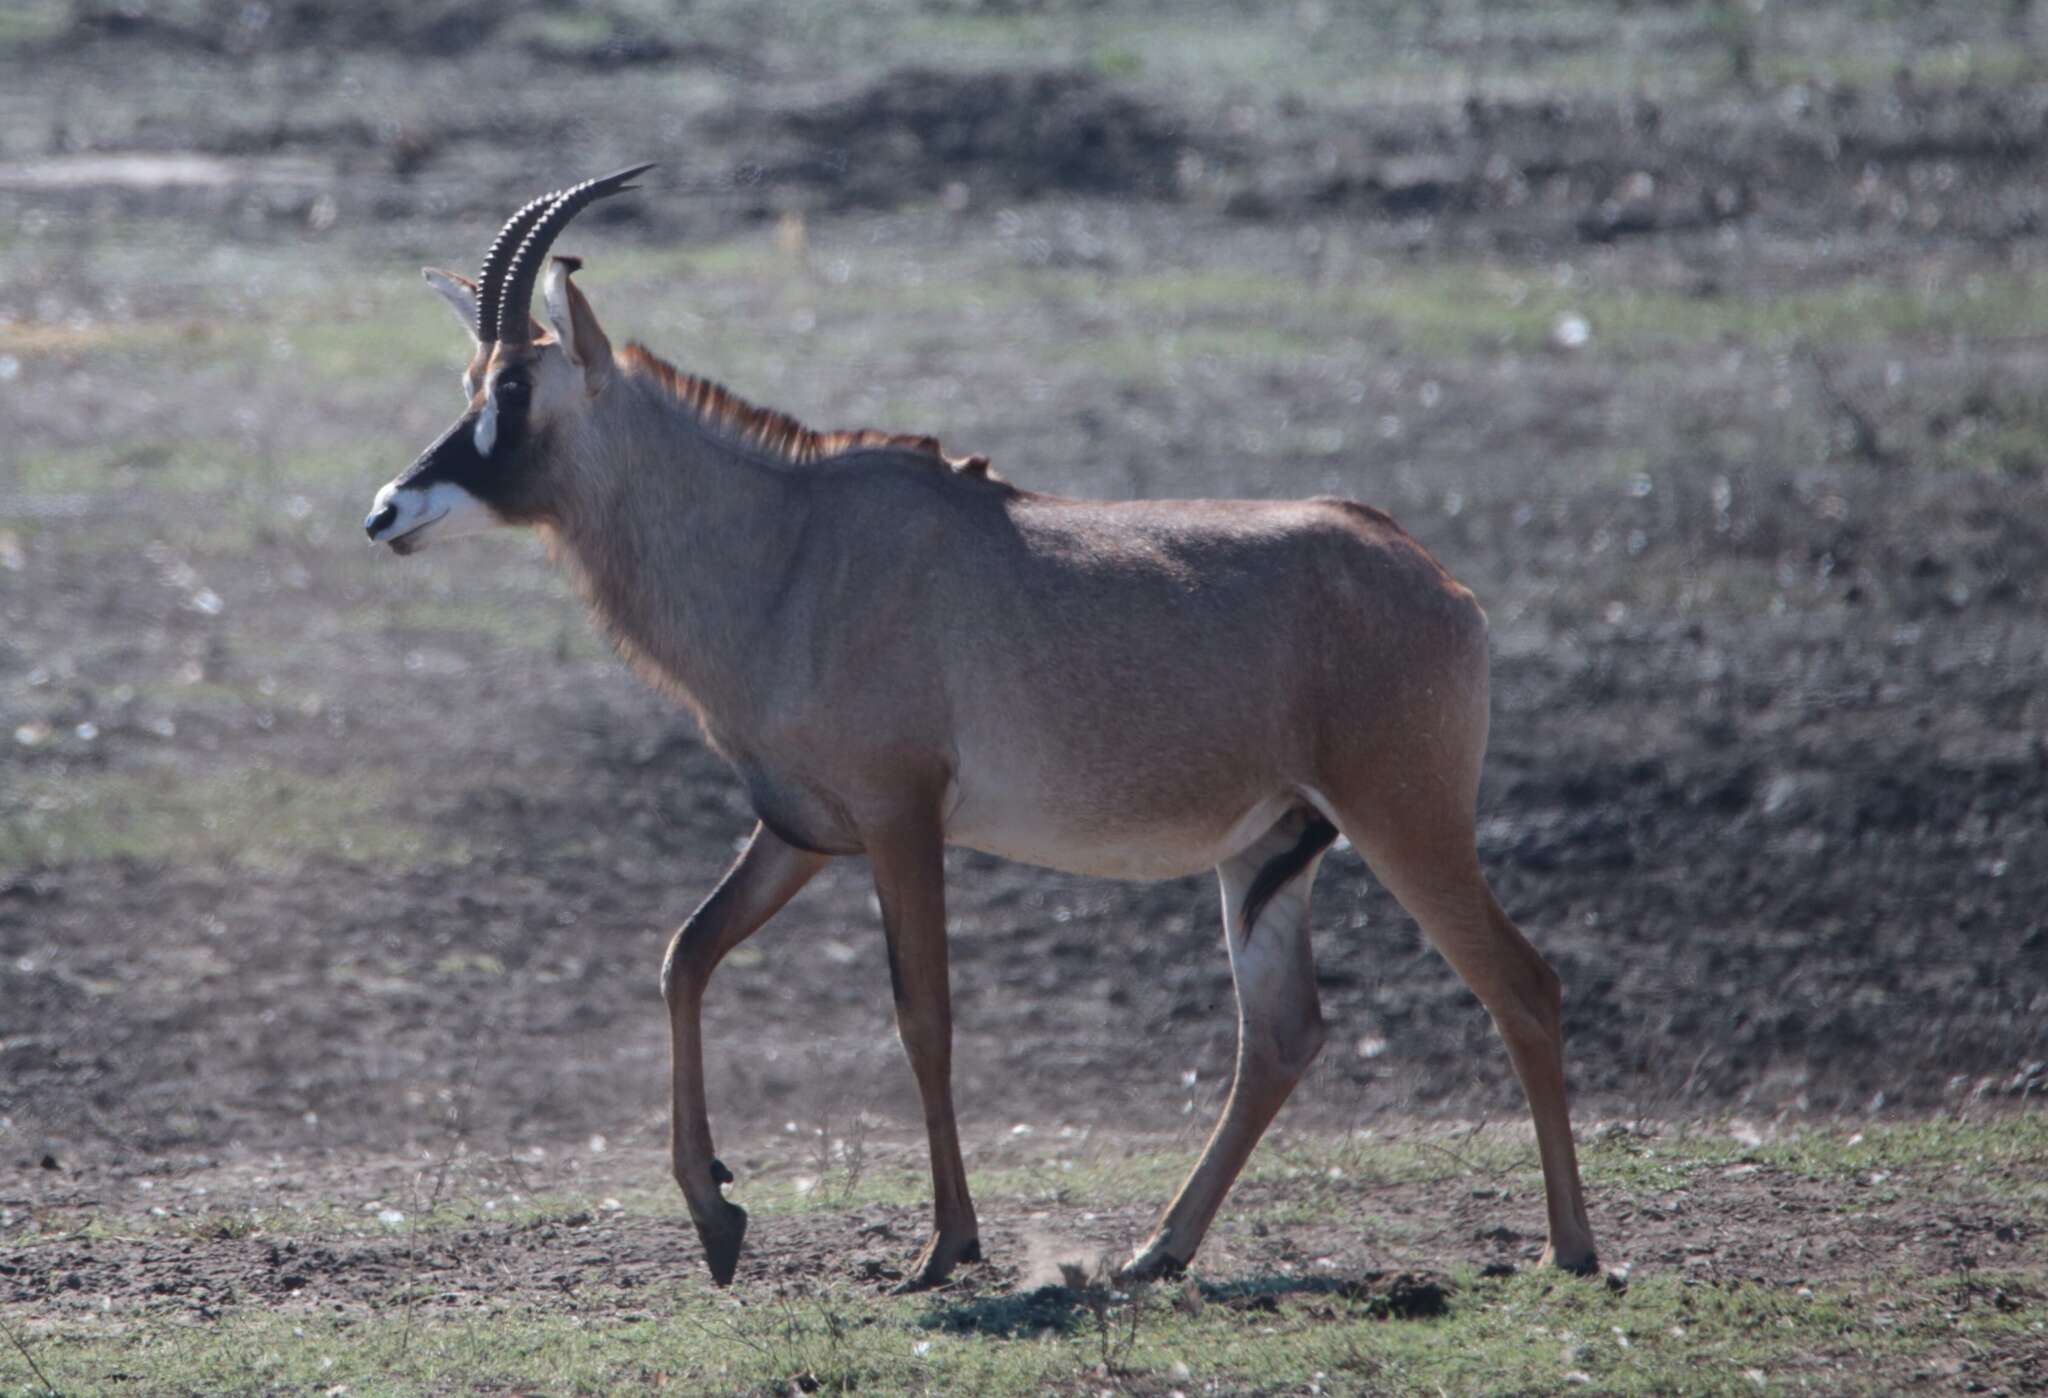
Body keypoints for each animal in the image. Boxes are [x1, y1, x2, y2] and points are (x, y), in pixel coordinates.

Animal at [364, 169, 1597, 1293]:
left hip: (1403, 818)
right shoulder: (802, 830)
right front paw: (718, 1218)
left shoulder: (901, 818)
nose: (386, 511)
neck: (787, 546)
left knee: (1522, 985)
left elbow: (924, 1015)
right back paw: (1157, 1250)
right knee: (1282, 1033)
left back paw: (1569, 1249)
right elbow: (685, 957)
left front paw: (944, 1246)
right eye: (470, 379)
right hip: (1268, 848)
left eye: (514, 386)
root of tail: (1440, 585)